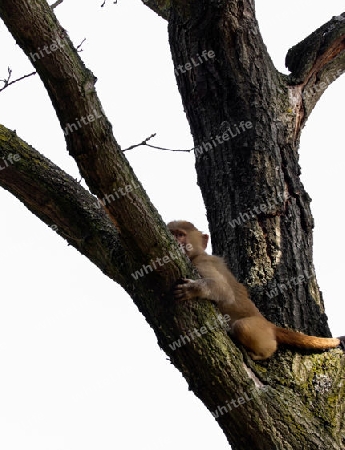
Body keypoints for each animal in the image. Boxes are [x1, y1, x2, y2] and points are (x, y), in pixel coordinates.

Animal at [167, 220, 342, 360]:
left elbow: (223, 290)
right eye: (172, 233)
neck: (195, 256)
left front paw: (191, 289)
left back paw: (264, 352)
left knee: (242, 327)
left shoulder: (202, 262)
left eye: (180, 235)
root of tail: (269, 324)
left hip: (259, 328)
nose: (174, 240)